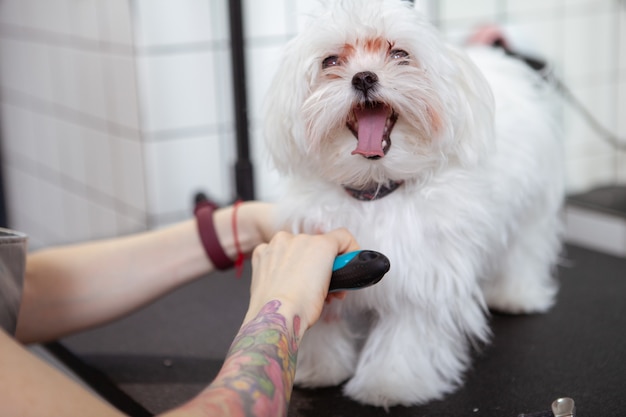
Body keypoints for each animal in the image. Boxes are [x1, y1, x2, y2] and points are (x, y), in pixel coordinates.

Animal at [260, 0, 564, 406]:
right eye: (330, 61)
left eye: (400, 54)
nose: (363, 77)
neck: (374, 191)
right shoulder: (321, 254)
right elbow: (322, 322)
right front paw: (319, 369)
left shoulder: (424, 274)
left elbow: (407, 335)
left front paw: (390, 383)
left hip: (531, 206)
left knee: (524, 249)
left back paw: (516, 296)